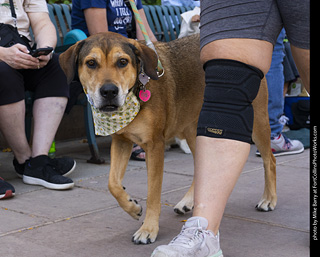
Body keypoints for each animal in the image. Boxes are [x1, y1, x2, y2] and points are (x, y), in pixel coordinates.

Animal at [58, 32, 276, 244]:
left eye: (122, 62)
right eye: (91, 63)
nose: (109, 91)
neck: (135, 90)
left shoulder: (155, 146)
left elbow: (153, 194)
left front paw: (148, 229)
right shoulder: (122, 141)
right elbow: (112, 184)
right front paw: (132, 206)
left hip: (256, 121)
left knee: (270, 159)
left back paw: (269, 199)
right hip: (193, 129)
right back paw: (188, 202)